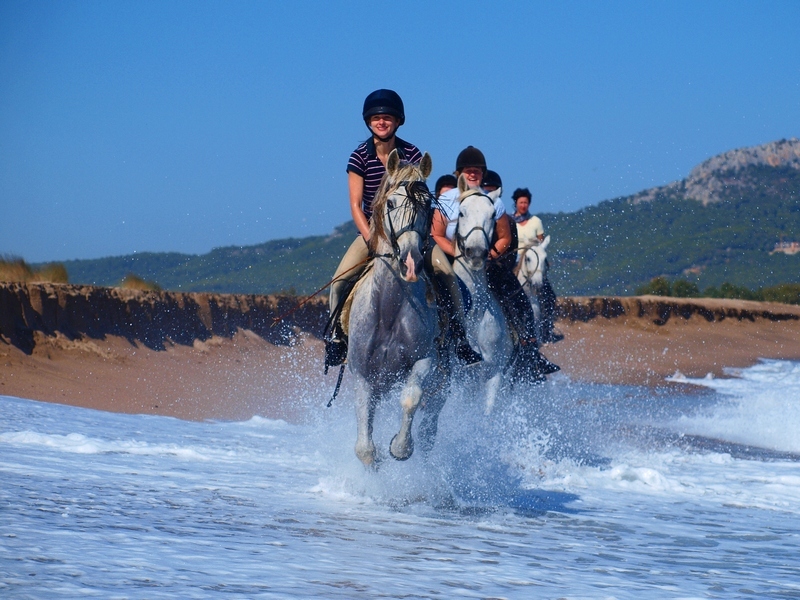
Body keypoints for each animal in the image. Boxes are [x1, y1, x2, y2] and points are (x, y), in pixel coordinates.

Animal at [346, 150, 440, 468]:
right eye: (390, 202)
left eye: (428, 205)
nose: (411, 263)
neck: (387, 311)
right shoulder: (362, 374)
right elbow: (364, 447)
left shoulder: (425, 359)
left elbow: (411, 398)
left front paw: (400, 447)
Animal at [450, 176, 512, 414]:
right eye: (461, 213)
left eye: (493, 215)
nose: (476, 253)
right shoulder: (458, 379)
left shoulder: (494, 372)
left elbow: (487, 414)